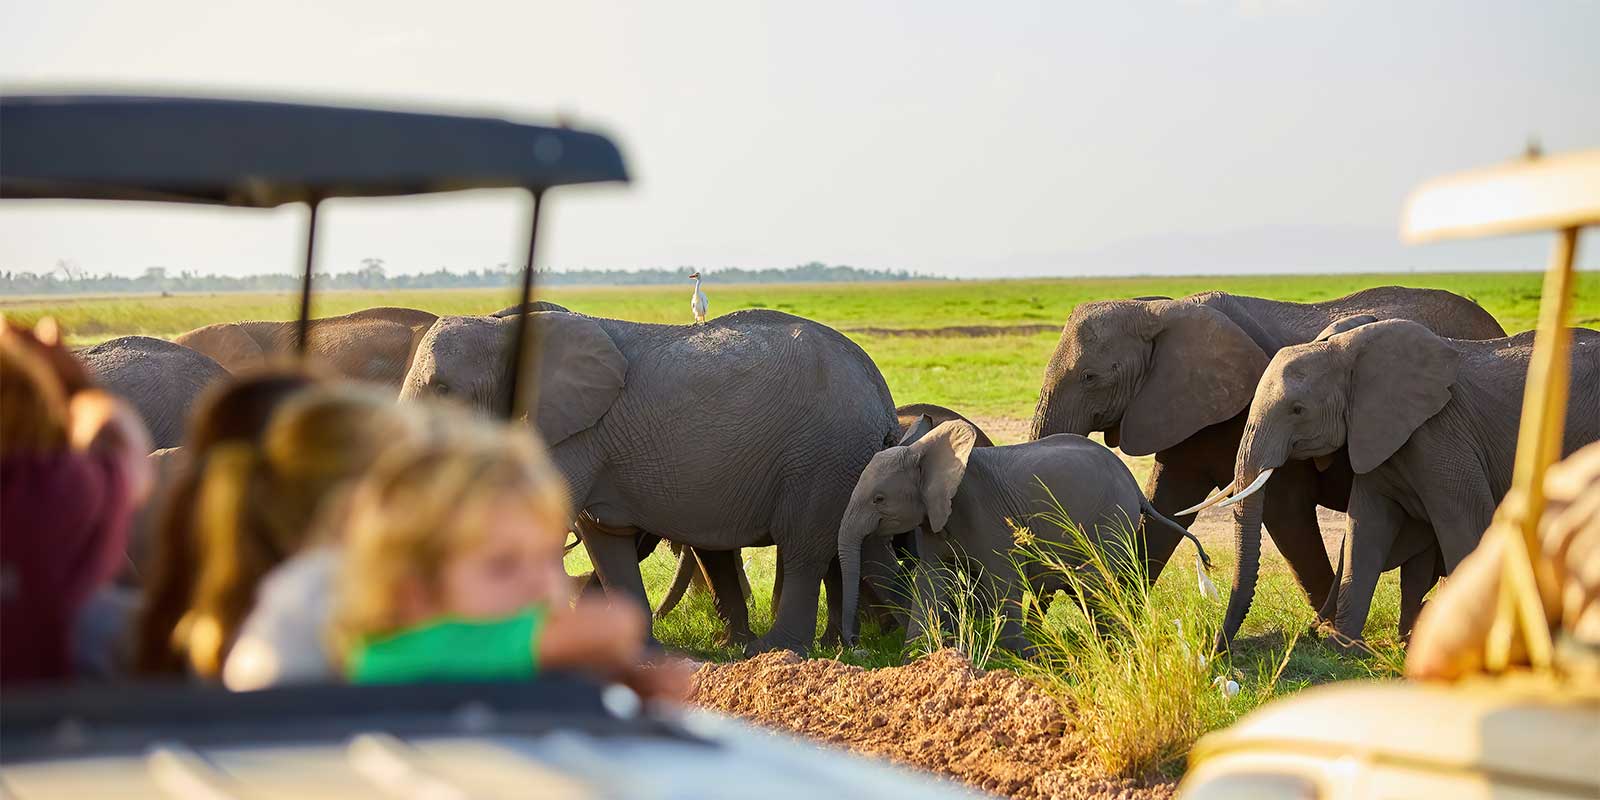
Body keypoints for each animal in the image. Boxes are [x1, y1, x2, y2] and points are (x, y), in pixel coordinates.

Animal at [400, 309, 901, 653]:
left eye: (442, 389)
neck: (502, 328)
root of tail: (878, 388)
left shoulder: (572, 435)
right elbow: (604, 539)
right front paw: (639, 652)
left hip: (821, 456)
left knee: (804, 548)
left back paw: (774, 652)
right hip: (849, 461)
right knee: (861, 547)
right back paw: (887, 643)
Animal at [837, 419, 1210, 652]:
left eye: (879, 499)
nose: (854, 644)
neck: (926, 454)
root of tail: (1134, 486)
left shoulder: (985, 515)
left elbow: (1003, 582)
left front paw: (1026, 656)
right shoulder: (935, 516)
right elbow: (931, 579)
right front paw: (914, 657)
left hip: (1112, 516)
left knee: (1095, 582)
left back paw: (1114, 646)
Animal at [1029, 287, 1507, 647]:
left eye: (1091, 377)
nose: (1214, 649)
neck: (1160, 308)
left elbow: (1285, 513)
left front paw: (1323, 632)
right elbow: (1165, 506)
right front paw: (1119, 619)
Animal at [1220, 319, 1600, 648]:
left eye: (1297, 410)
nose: (1221, 649)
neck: (1346, 352)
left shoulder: (1441, 434)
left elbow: (1465, 528)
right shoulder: (1378, 434)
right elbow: (1366, 531)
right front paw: (1345, 648)